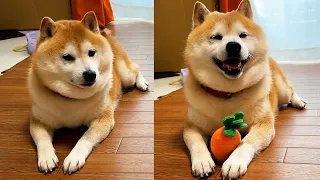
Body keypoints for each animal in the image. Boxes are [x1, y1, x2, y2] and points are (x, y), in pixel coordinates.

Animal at [28, 11, 148, 174]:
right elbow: (42, 139)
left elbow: (85, 138)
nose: (91, 74)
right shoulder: (38, 121)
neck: (71, 98)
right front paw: (46, 158)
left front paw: (74, 157)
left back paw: (142, 83)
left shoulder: (102, 119)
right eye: (67, 57)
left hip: (126, 75)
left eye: (91, 53)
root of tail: (105, 35)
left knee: (136, 70)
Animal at [182, 0, 304, 179]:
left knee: (291, 88)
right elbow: (196, 141)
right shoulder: (192, 126)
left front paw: (234, 162)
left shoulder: (263, 124)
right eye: (216, 37)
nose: (234, 46)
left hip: (282, 91)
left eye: (243, 35)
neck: (227, 93)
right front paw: (202, 161)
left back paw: (298, 101)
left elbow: (247, 142)